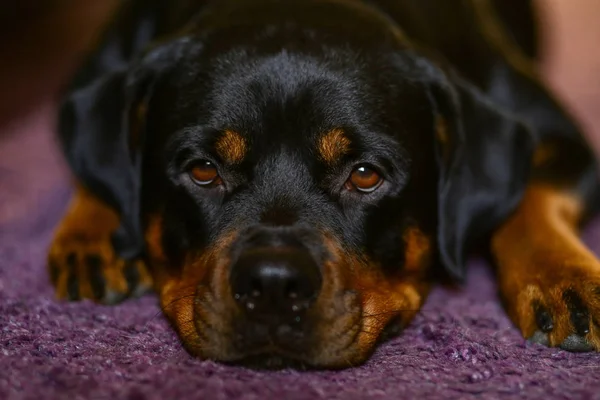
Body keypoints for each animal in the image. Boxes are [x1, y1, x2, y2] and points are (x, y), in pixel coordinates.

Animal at [47, 0, 600, 368]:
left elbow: (533, 194)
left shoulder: (555, 131)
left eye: (365, 175)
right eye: (203, 170)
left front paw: (564, 279)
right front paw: (92, 233)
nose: (273, 284)